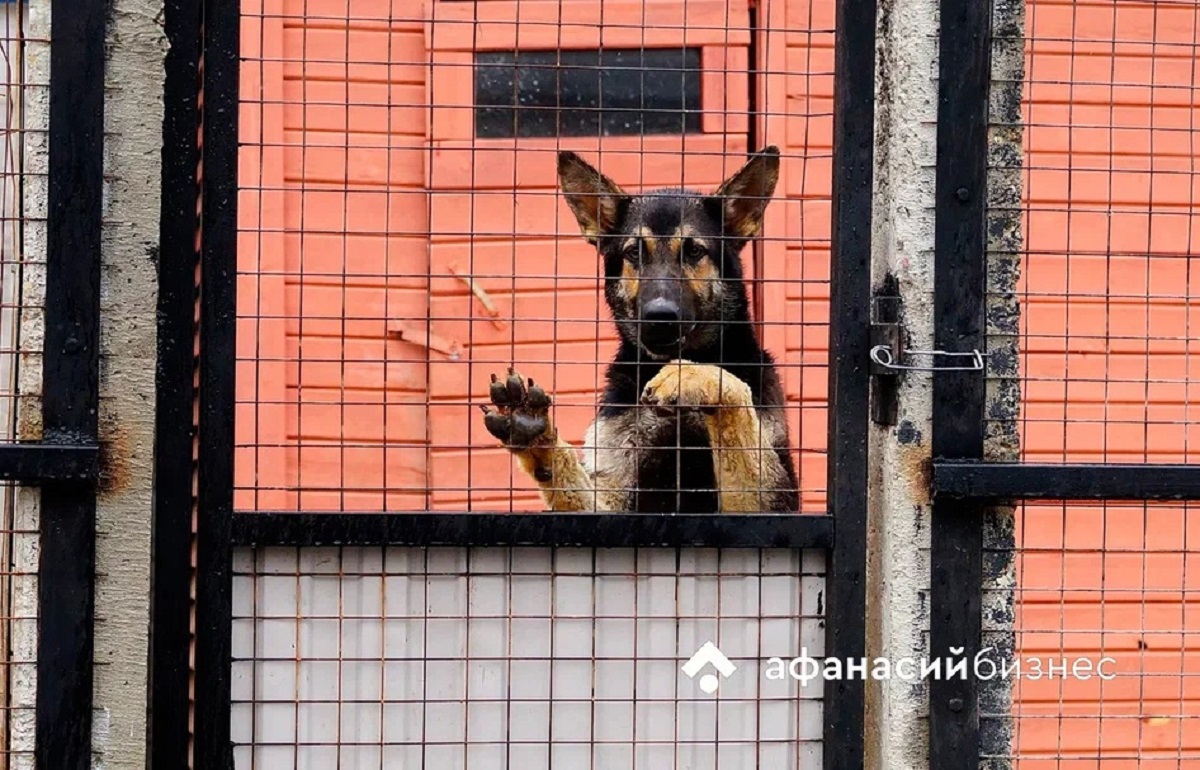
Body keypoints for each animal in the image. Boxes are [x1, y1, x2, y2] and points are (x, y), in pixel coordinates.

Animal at [477, 146, 796, 513]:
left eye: (694, 251)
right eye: (634, 253)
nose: (659, 316)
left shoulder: (767, 502)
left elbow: (732, 393)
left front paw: (688, 374)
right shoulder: (610, 497)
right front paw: (537, 436)